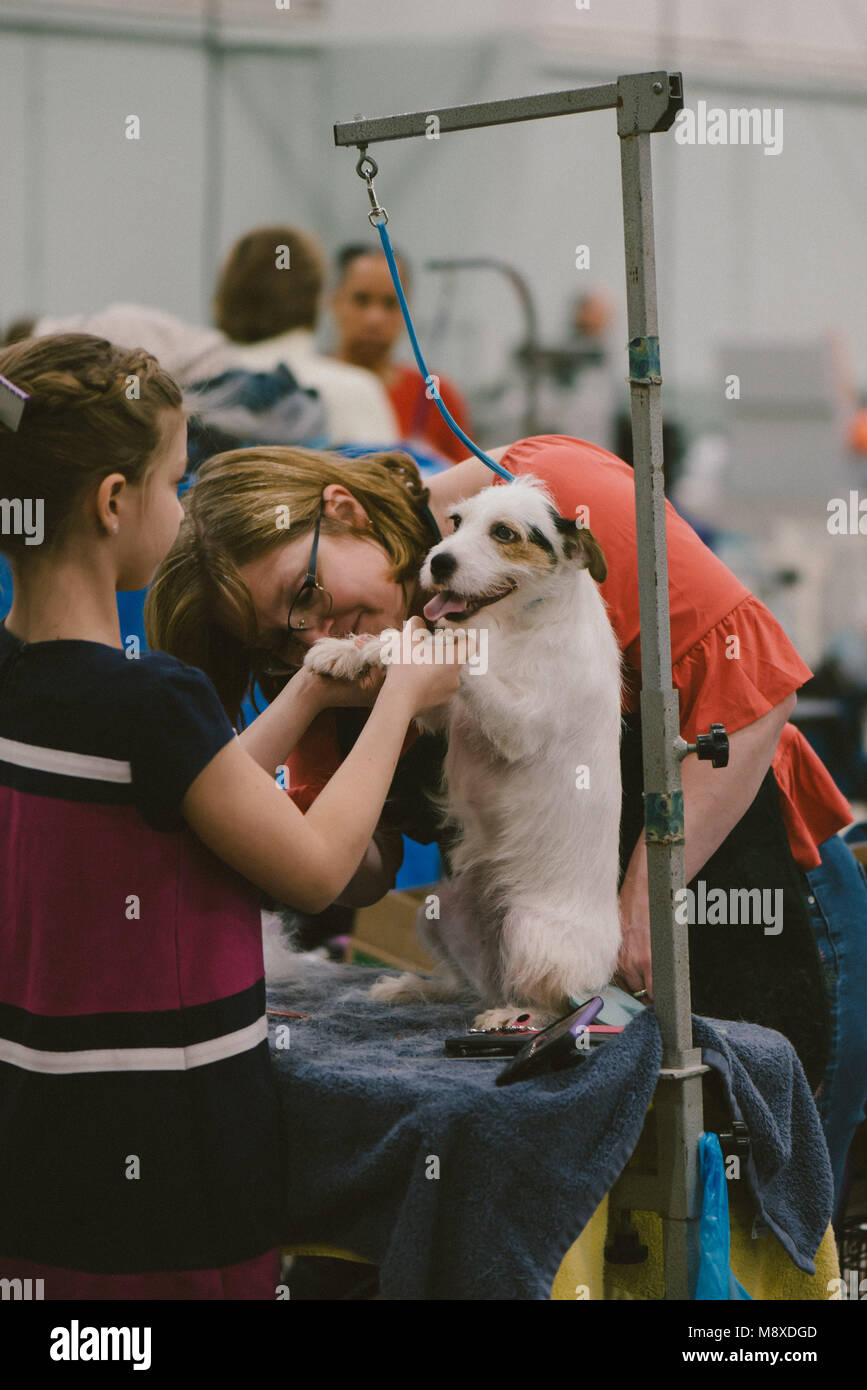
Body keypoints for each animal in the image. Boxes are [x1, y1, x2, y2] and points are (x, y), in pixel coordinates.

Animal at [304, 478, 622, 1034]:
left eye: (504, 533)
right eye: (455, 522)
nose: (439, 562)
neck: (517, 624)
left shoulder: (518, 723)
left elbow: (452, 646)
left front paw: (405, 645)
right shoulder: (443, 711)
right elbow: (416, 639)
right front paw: (349, 650)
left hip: (531, 932)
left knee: (558, 1003)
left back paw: (513, 1014)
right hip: (438, 910)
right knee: (463, 984)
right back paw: (412, 987)